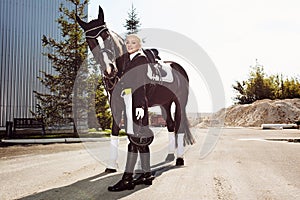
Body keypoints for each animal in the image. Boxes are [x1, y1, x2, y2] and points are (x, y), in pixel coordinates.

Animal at [76, 5, 196, 171]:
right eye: (90, 41)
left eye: (106, 35)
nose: (109, 70)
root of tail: (179, 68)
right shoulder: (117, 104)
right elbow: (117, 129)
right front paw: (113, 165)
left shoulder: (140, 103)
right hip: (165, 104)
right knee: (171, 126)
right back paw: (170, 155)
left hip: (180, 102)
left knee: (179, 128)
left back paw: (179, 159)